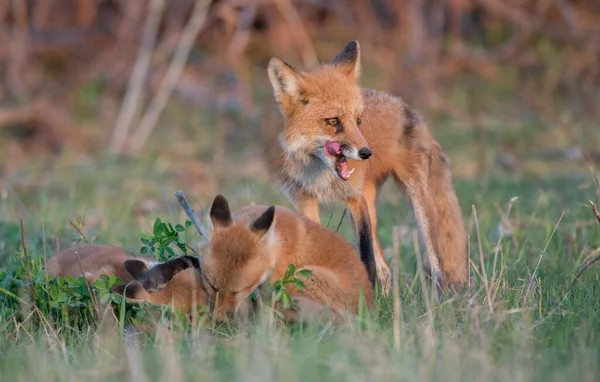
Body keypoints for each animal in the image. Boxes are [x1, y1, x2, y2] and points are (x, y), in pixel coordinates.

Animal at [142, 194, 372, 322]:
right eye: (212, 285)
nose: (219, 321)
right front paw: (158, 275)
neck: (277, 244)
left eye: (239, 290)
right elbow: (188, 259)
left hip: (302, 278)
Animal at [262, 40, 468, 294]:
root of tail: (403, 105)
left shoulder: (355, 199)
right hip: (371, 202)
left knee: (435, 261)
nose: (366, 153)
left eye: (358, 120)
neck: (316, 172)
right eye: (333, 121)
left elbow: (366, 258)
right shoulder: (303, 199)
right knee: (386, 268)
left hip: (418, 204)